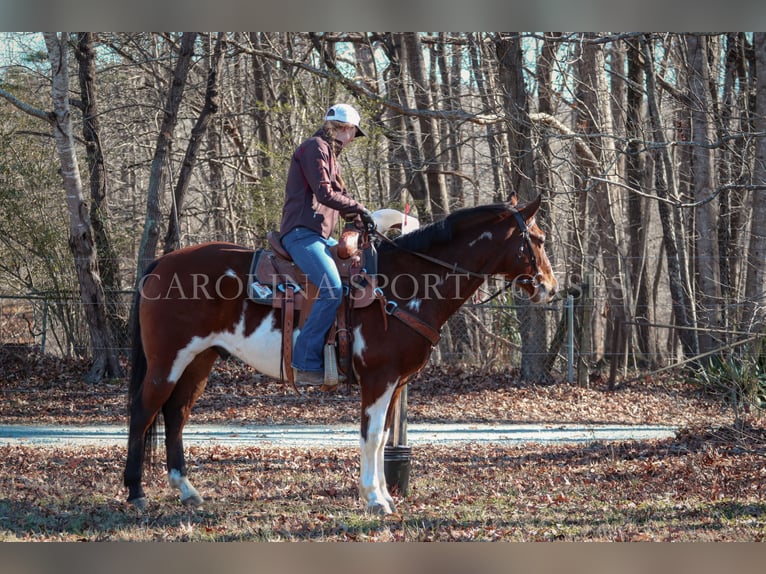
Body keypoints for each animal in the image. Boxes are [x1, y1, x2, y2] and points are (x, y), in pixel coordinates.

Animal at [124, 196, 560, 516]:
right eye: (537, 239)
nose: (550, 288)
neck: (402, 285)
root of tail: (162, 261)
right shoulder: (378, 378)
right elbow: (371, 436)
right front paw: (376, 499)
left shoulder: (395, 383)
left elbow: (382, 440)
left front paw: (383, 494)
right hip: (167, 361)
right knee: (144, 412)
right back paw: (135, 492)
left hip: (200, 360)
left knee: (175, 414)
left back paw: (186, 490)